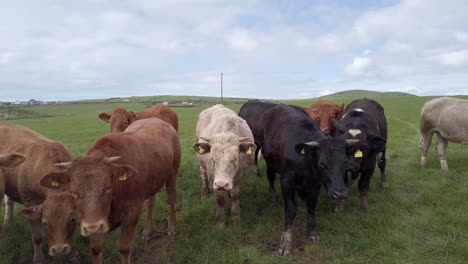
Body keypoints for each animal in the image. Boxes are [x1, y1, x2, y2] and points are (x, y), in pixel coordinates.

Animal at [0, 122, 77, 262]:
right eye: (45, 222)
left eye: (72, 219)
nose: (59, 250)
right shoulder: (31, 203)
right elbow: (37, 236)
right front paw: (38, 257)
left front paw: (73, 255)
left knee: (9, 201)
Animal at [39, 118, 181, 264]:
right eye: (74, 192)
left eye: (107, 187)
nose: (92, 227)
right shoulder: (94, 220)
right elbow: (96, 249)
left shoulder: (133, 212)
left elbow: (124, 247)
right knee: (151, 202)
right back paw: (148, 231)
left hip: (172, 174)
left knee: (171, 198)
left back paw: (171, 227)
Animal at [258, 103, 356, 256]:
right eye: (322, 164)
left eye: (345, 162)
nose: (340, 193)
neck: (305, 160)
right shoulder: (286, 182)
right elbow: (290, 209)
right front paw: (286, 242)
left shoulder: (315, 185)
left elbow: (311, 206)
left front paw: (312, 231)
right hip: (270, 163)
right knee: (271, 177)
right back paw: (272, 196)